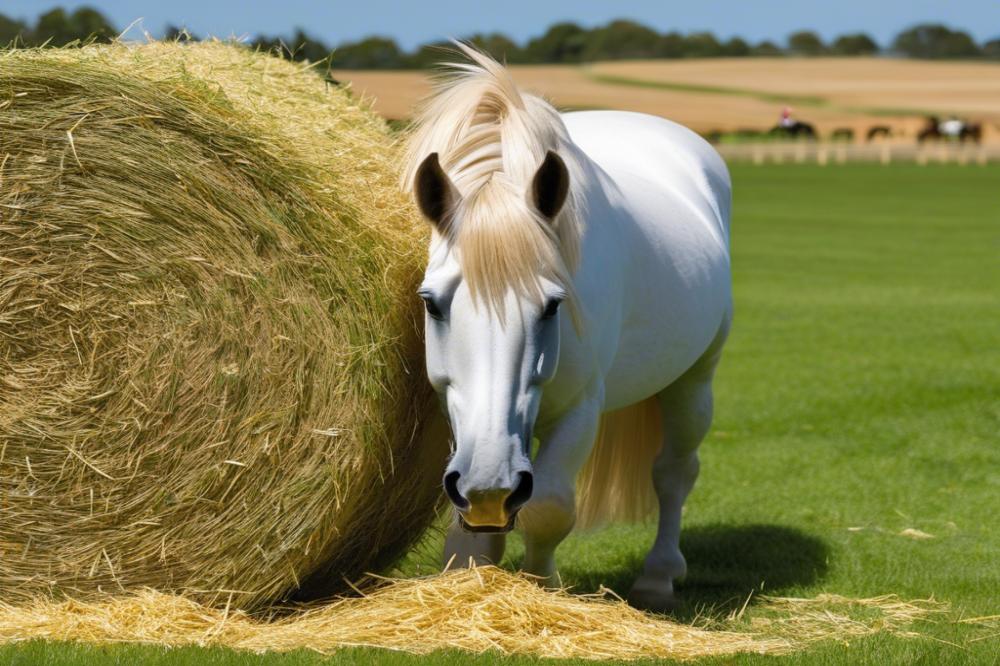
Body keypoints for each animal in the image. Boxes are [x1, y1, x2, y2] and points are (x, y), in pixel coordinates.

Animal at [400, 44, 736, 608]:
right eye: (432, 303)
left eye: (552, 305)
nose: (489, 483)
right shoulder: (459, 416)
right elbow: (473, 527)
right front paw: (469, 580)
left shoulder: (580, 410)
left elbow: (548, 507)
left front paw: (542, 588)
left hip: (695, 381)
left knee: (673, 474)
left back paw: (659, 576)